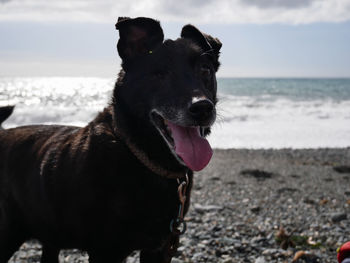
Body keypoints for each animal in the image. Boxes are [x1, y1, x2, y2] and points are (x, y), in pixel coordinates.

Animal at [0, 17, 221, 263]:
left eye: (205, 70)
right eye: (160, 74)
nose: (202, 108)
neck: (139, 156)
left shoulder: (160, 248)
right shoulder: (106, 251)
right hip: (7, 233)